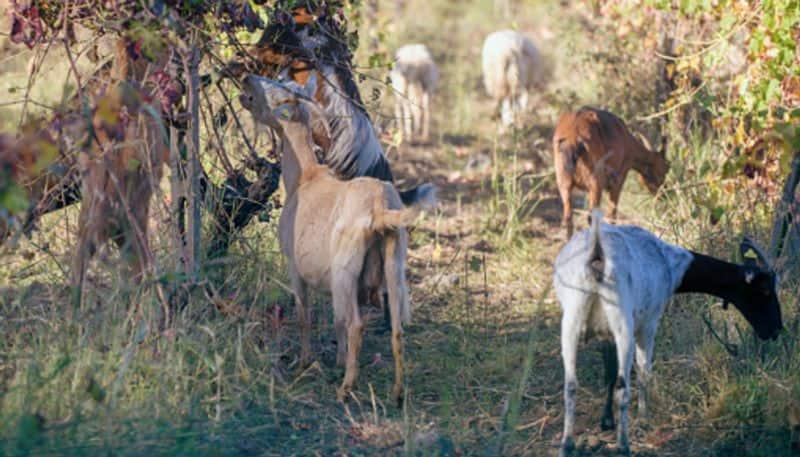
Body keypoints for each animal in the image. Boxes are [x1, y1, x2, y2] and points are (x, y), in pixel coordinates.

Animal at [239, 71, 438, 402]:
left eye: (279, 92)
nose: (247, 80)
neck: (305, 177)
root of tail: (379, 209)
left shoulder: (295, 266)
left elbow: (305, 316)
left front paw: (305, 362)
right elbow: (337, 321)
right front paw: (338, 359)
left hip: (347, 267)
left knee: (357, 325)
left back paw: (347, 388)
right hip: (392, 264)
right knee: (396, 327)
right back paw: (397, 392)